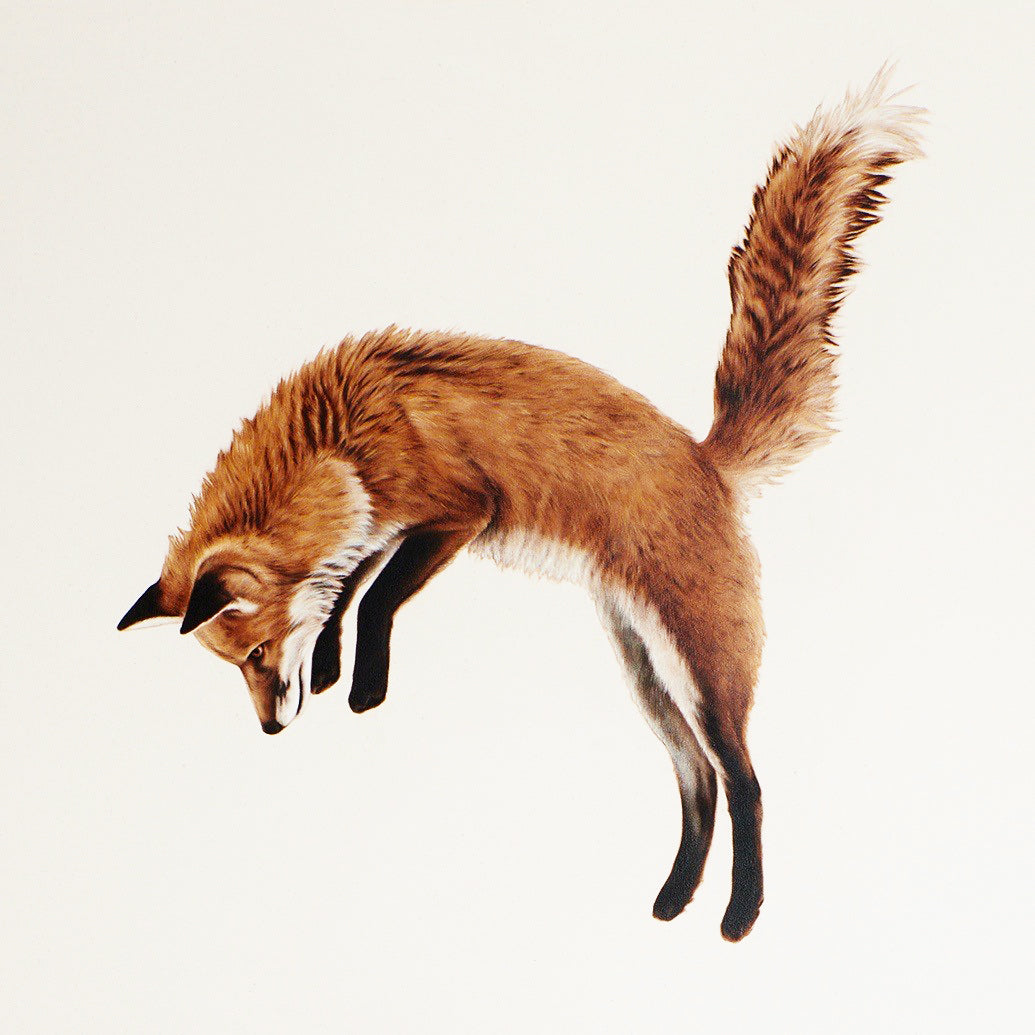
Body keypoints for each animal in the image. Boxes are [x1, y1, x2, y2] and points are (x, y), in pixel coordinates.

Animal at [118, 69, 922, 941]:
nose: (269, 728)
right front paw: (331, 663)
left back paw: (740, 914)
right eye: (235, 667)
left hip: (702, 667)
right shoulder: (383, 523)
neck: (340, 442)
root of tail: (705, 457)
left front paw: (362, 686)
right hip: (644, 671)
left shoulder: (459, 510)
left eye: (259, 654)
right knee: (697, 781)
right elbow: (347, 589)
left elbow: (377, 598)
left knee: (744, 781)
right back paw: (673, 898)